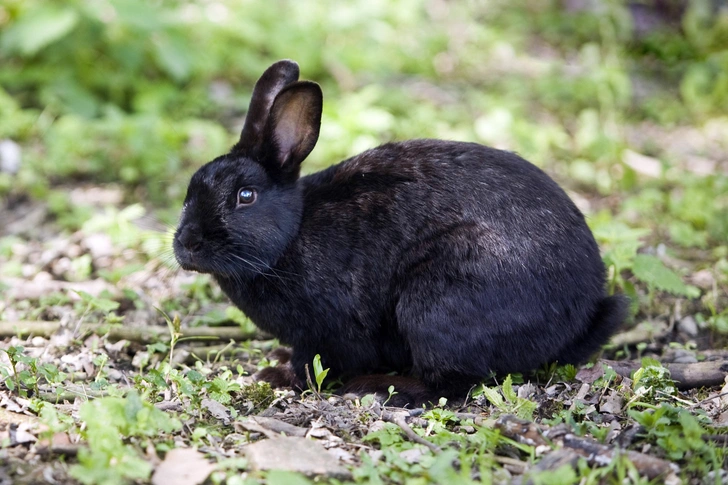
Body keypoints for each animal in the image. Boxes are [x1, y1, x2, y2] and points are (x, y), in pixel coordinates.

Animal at [175, 58, 624, 402]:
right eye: (190, 191)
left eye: (245, 196)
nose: (187, 245)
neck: (292, 234)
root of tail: (579, 316)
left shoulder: (328, 331)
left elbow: (317, 363)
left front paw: (278, 376)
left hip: (437, 302)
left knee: (451, 384)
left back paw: (378, 386)